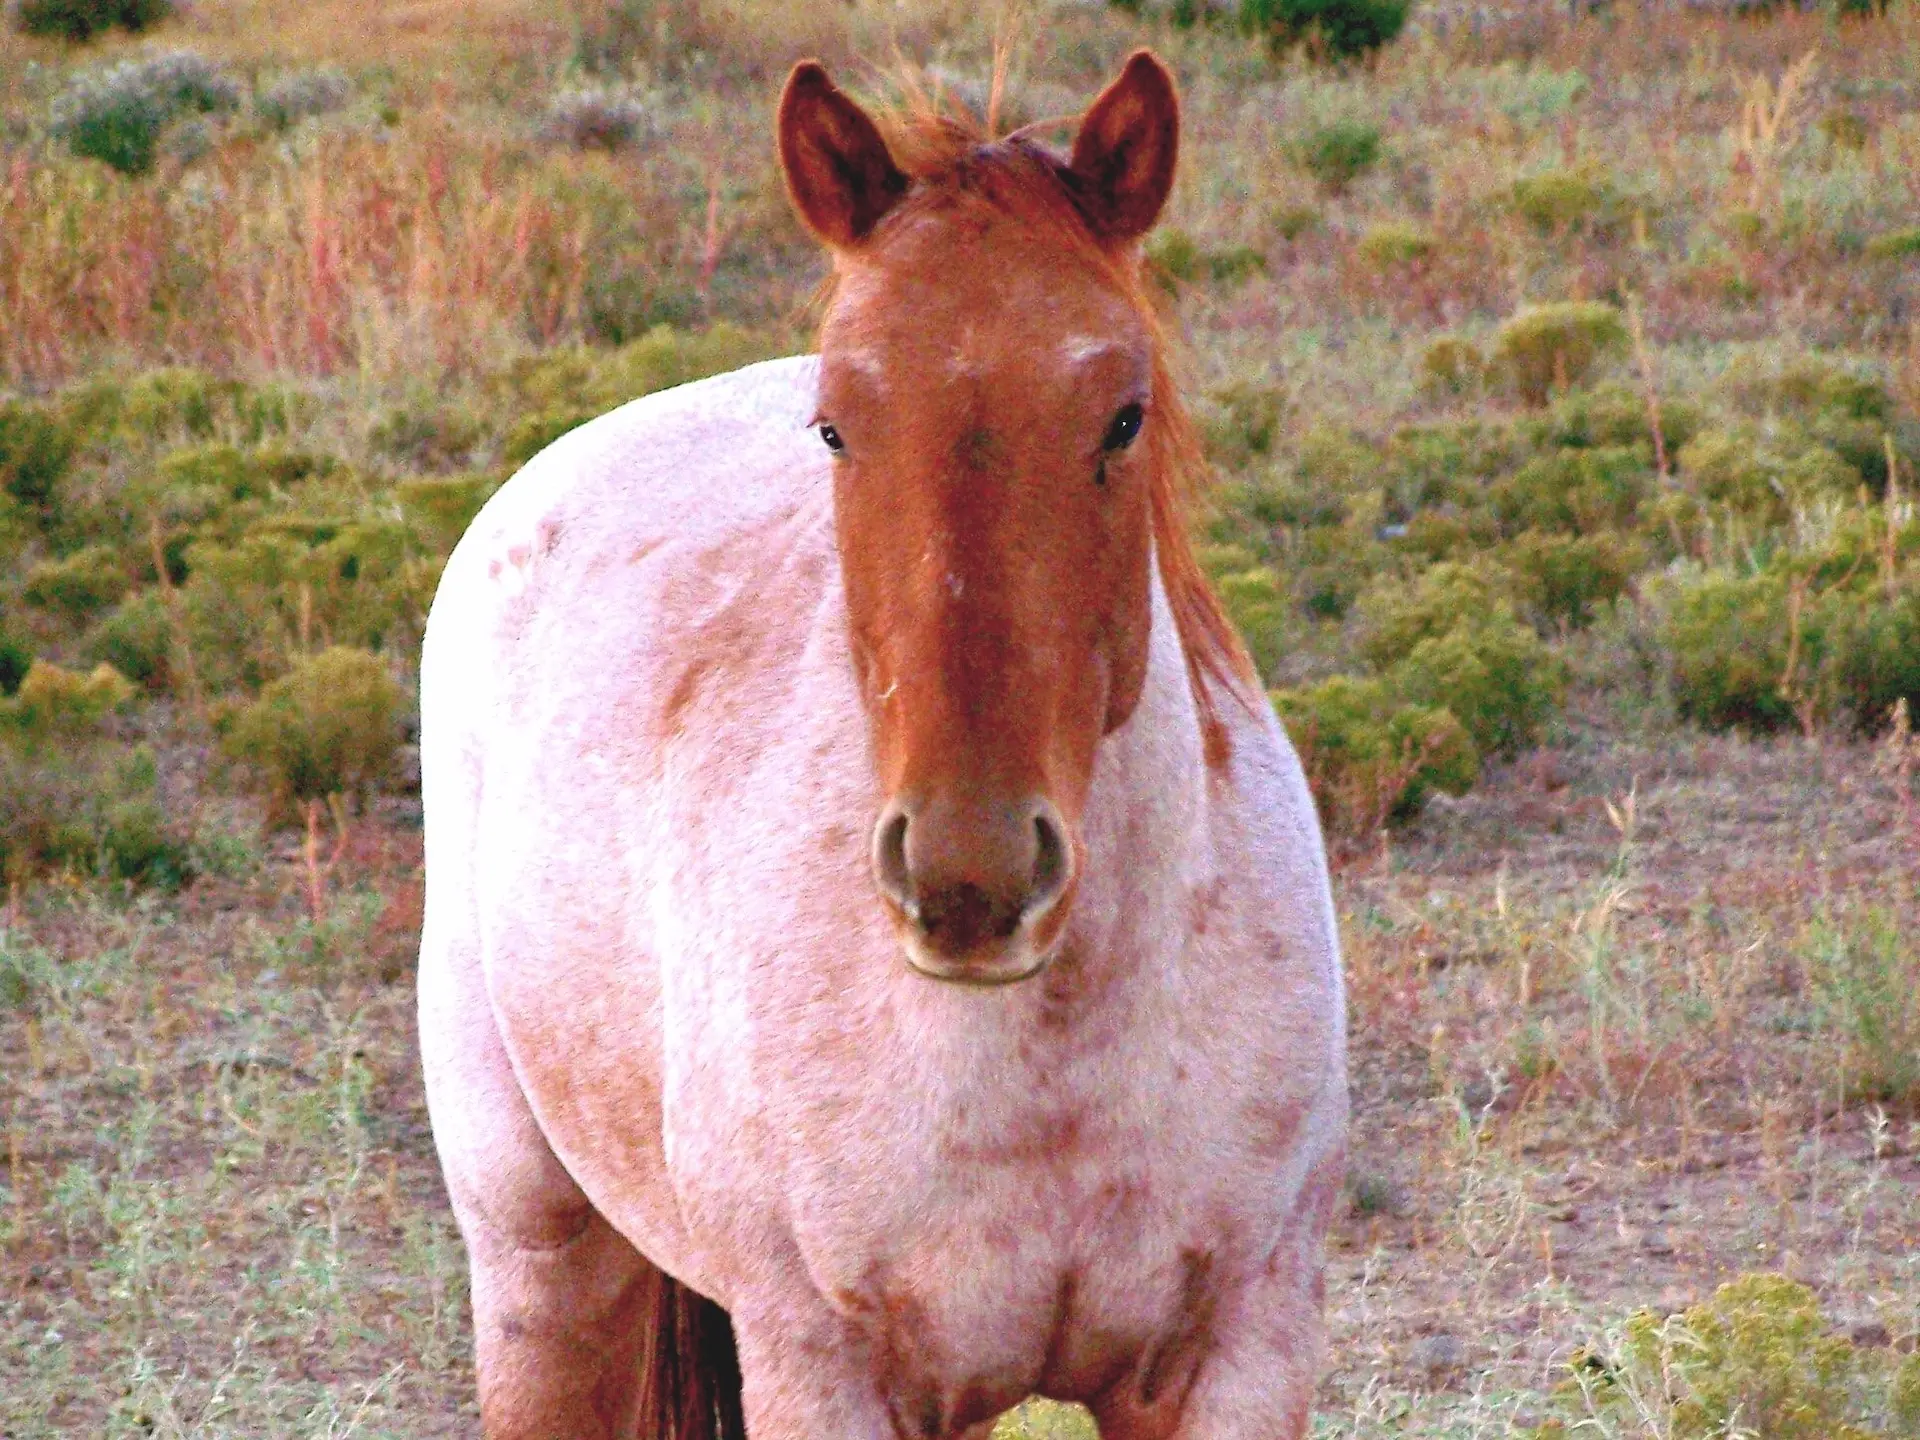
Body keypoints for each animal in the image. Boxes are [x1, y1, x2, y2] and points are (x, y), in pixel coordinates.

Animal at [420, 48, 1351, 1440]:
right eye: (835, 426)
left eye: (1122, 417)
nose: (972, 878)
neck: (1054, 1051)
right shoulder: (821, 1368)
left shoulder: (1235, 1354)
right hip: (543, 1259)